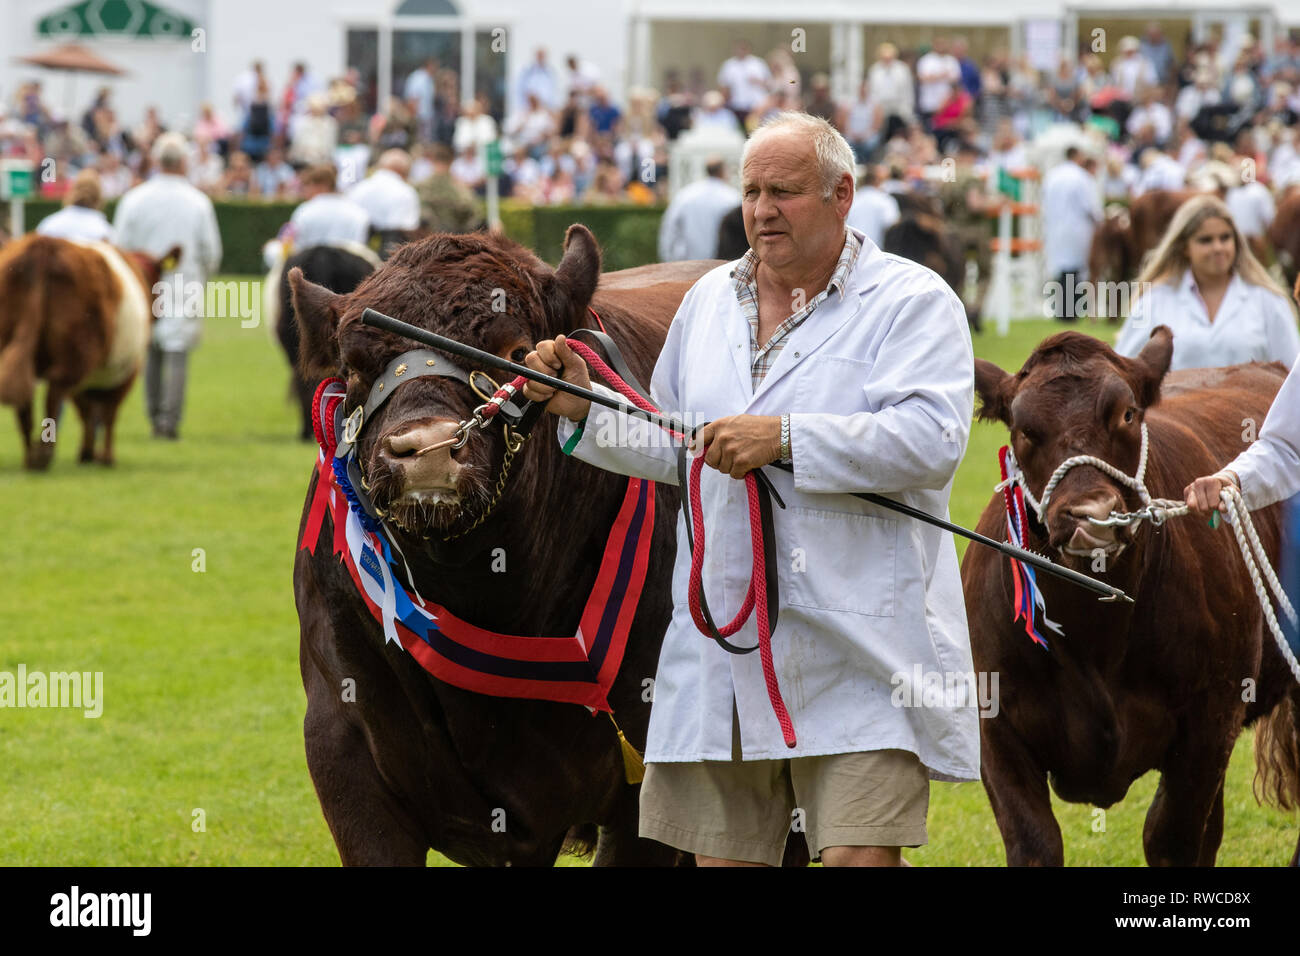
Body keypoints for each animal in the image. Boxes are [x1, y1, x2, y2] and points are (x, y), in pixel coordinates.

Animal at [0, 234, 176, 468]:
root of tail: (45, 244)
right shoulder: (127, 371)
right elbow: (109, 413)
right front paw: (106, 457)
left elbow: (87, 412)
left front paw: (87, 452)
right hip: (78, 351)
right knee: (54, 393)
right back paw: (43, 455)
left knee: (26, 399)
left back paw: (30, 456)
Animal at [961, 327, 1300, 868]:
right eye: (1024, 429)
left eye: (1126, 414)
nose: (1090, 514)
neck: (1094, 636)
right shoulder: (994, 721)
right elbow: (1035, 842)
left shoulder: (1211, 720)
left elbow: (1169, 837)